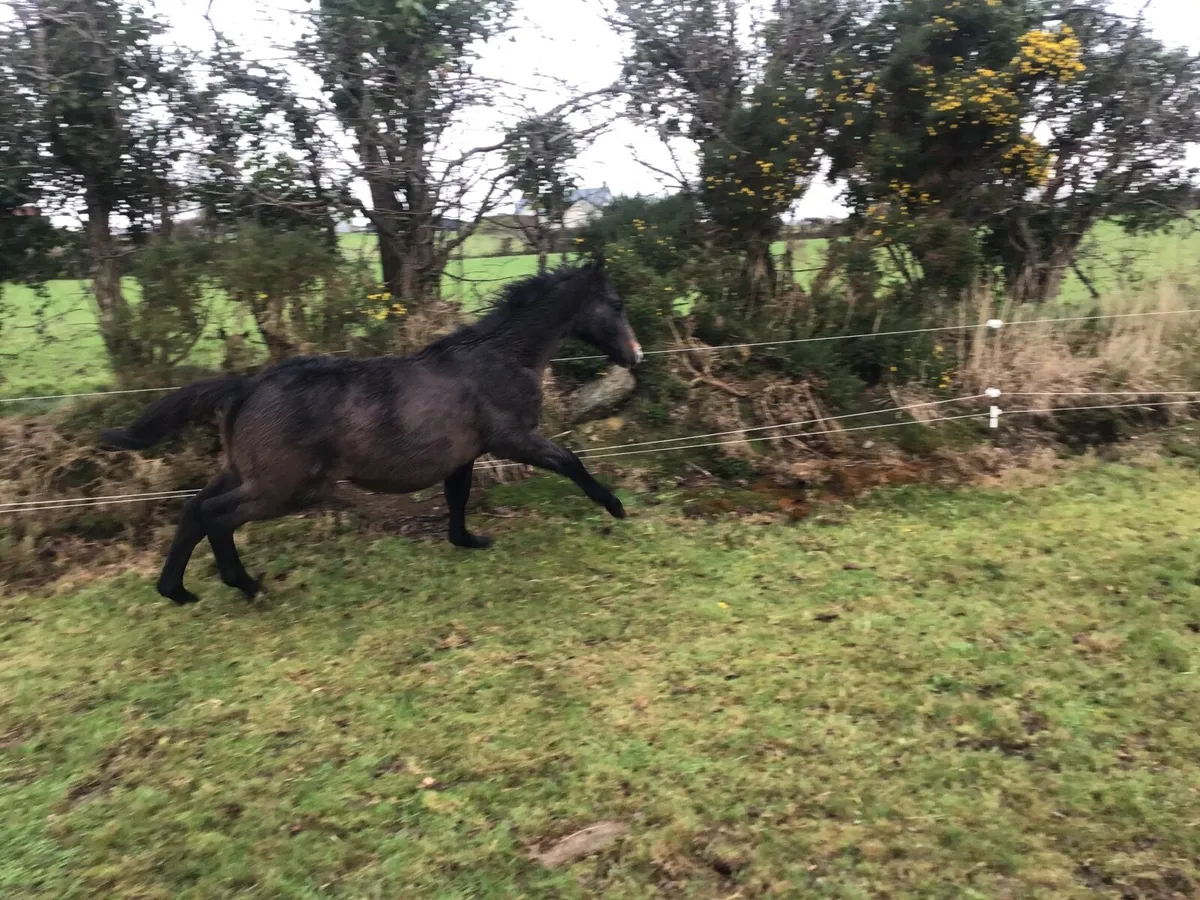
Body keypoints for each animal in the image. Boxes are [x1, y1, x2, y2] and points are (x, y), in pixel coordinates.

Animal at [98, 260, 643, 607]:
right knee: (216, 516)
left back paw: (177, 591)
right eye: (616, 303)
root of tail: (247, 384)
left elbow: (459, 497)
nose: (636, 356)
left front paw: (467, 541)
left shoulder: (463, 454)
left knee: (194, 509)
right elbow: (570, 460)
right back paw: (248, 586)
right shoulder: (514, 438)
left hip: (244, 473)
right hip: (284, 488)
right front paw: (616, 507)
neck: (499, 358)